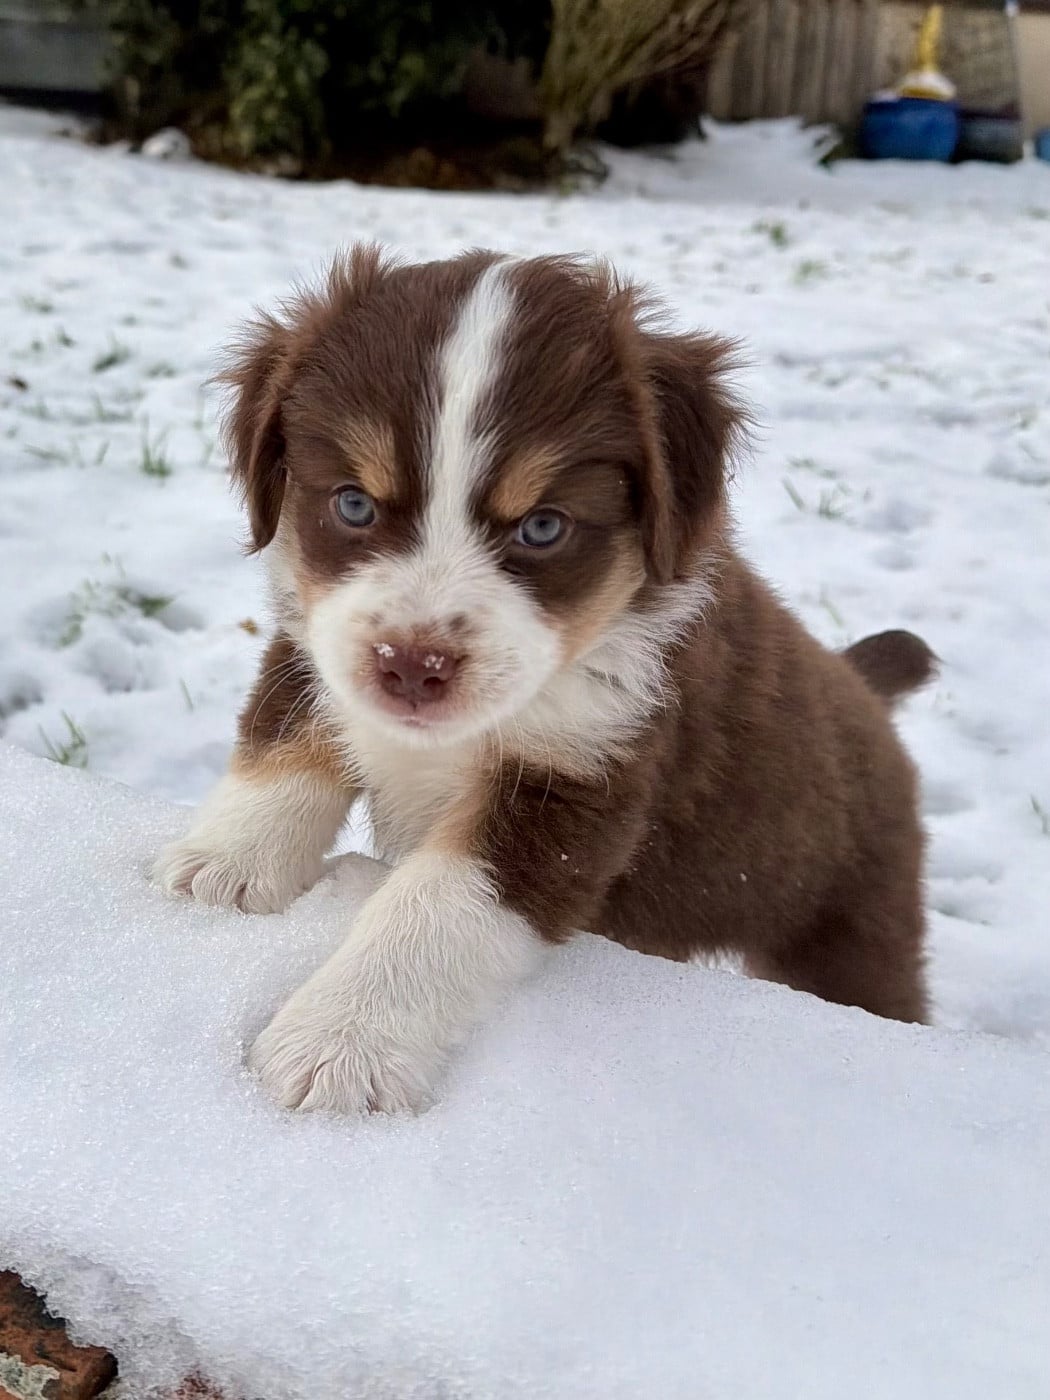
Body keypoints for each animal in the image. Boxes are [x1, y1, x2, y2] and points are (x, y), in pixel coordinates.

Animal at [155, 246, 936, 1115]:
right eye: (353, 504)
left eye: (542, 527)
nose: (413, 666)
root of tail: (862, 685)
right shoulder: (317, 643)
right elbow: (284, 737)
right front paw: (224, 863)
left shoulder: (582, 781)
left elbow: (434, 908)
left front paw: (341, 1044)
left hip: (851, 931)